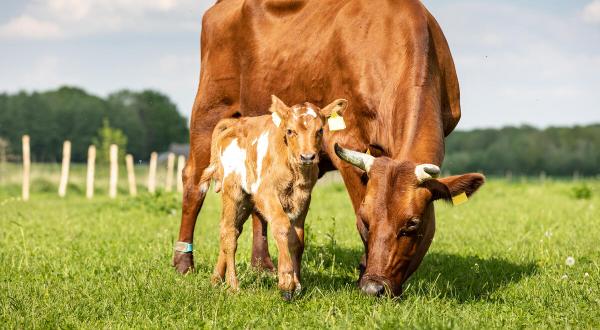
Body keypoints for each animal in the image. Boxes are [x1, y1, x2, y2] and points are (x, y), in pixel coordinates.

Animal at [200, 94, 346, 300]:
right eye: (290, 131)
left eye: (319, 130)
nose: (308, 157)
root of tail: (235, 124)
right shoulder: (266, 193)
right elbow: (282, 226)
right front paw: (286, 282)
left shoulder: (303, 198)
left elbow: (297, 240)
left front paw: (298, 285)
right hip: (232, 190)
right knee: (228, 233)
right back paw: (233, 285)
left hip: (246, 200)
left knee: (234, 230)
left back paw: (215, 280)